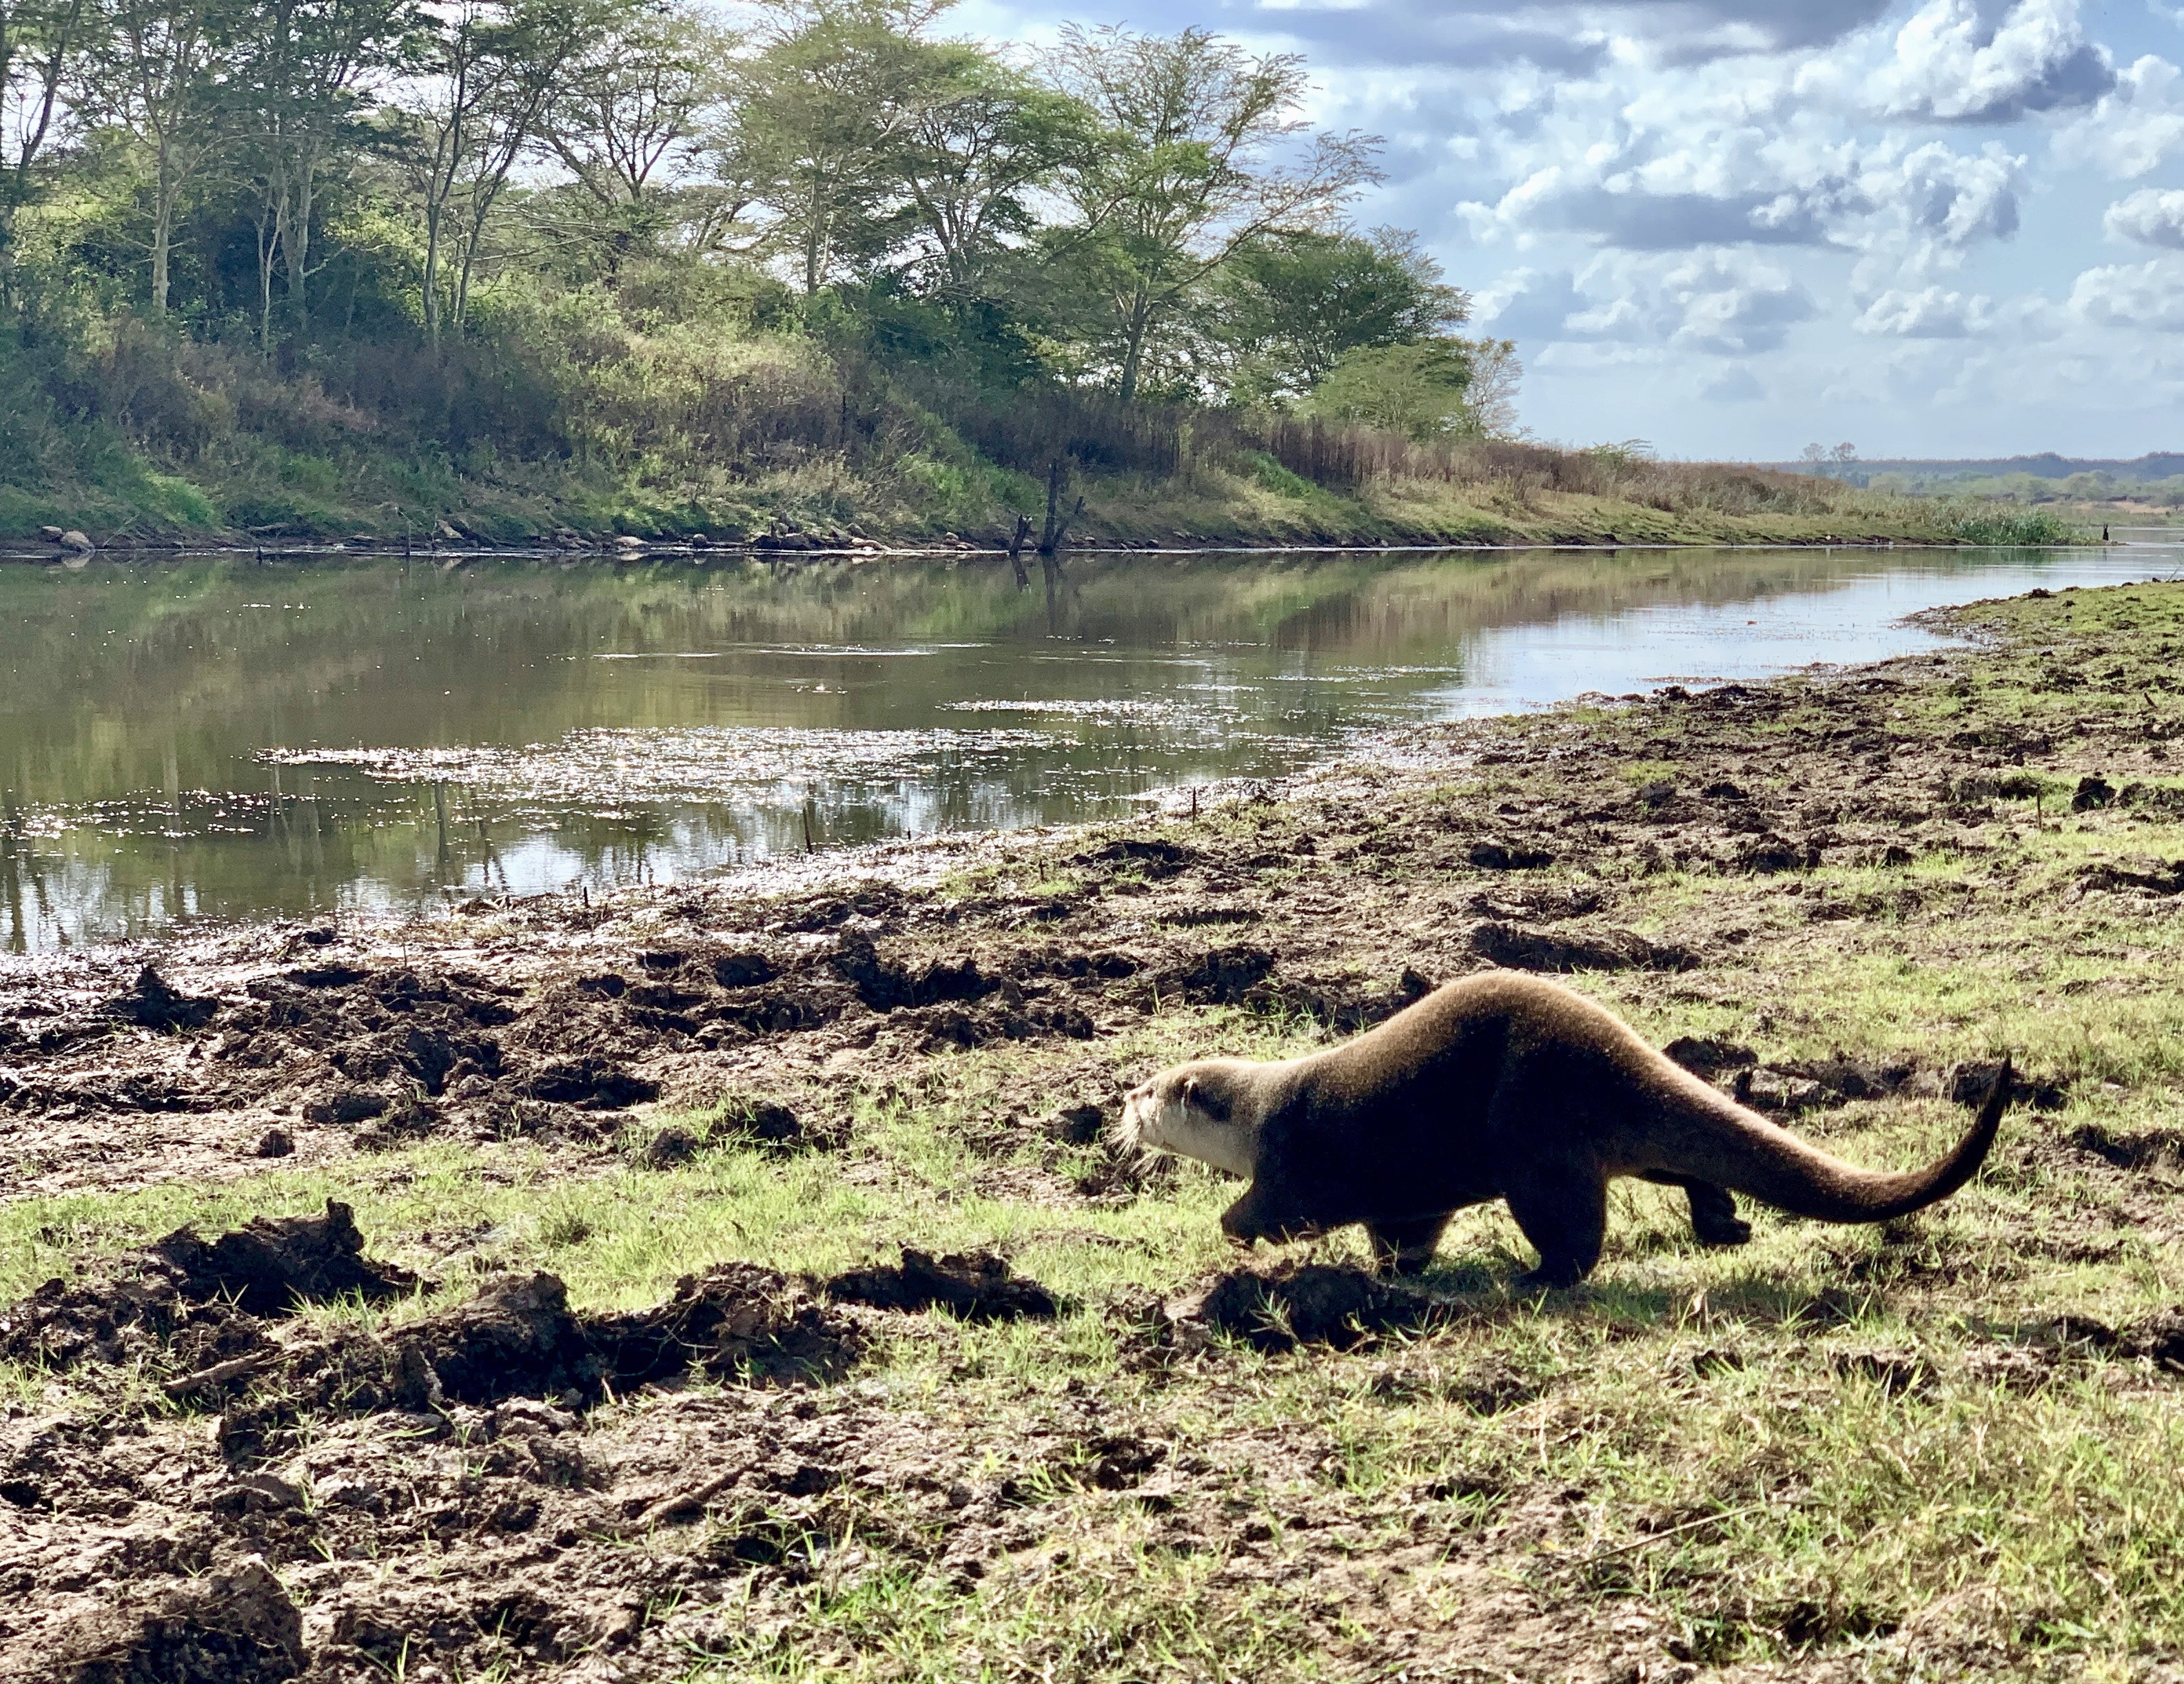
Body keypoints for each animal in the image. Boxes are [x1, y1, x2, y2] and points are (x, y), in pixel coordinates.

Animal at [1127, 969, 2009, 1284]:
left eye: (1147, 1089)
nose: (1121, 1106)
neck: (1257, 1111)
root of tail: (1618, 1050)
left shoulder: (1292, 1160)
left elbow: (1270, 1211)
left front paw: (1233, 1231)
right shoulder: (1405, 1193)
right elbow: (1405, 1231)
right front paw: (1395, 1272)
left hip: (1536, 1142)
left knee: (1577, 1237)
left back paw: (1539, 1277)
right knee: (1680, 1162)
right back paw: (1722, 1222)